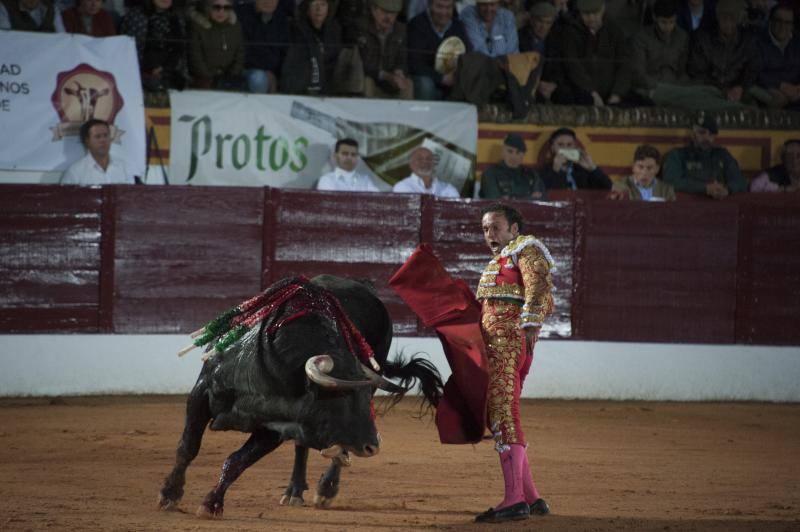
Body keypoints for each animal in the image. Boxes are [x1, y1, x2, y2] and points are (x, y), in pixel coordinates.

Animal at [156, 276, 444, 516]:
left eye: (365, 401)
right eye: (343, 398)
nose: (373, 446)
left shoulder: (274, 426)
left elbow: (237, 461)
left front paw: (212, 502)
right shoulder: (202, 393)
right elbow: (188, 447)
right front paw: (170, 494)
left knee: (324, 449)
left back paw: (324, 489)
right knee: (303, 446)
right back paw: (294, 490)